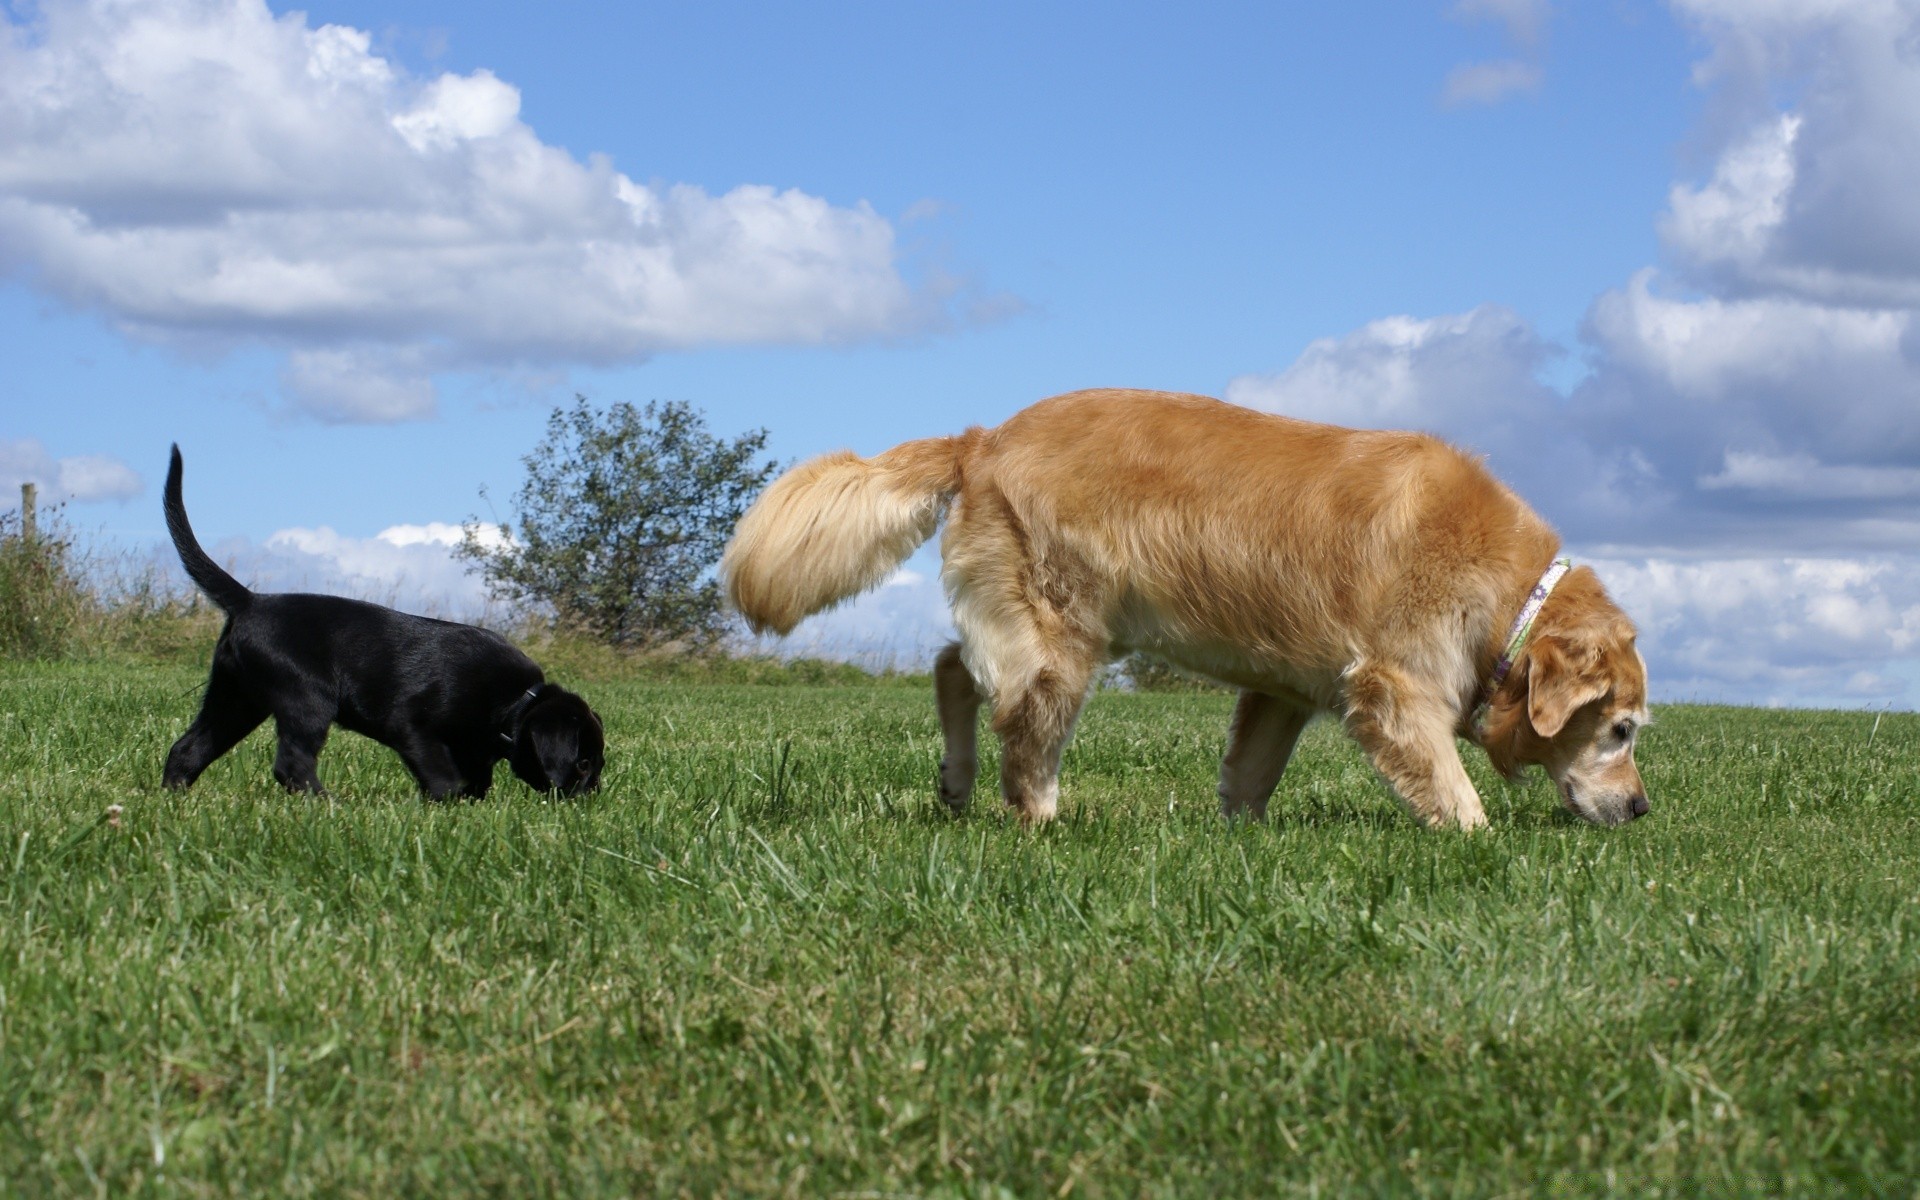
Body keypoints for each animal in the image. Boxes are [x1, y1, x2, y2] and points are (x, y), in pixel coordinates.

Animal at [162, 445, 602, 798]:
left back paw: (173, 798)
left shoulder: (471, 749)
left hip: (236, 698)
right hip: (306, 698)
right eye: (582, 764)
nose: (590, 798)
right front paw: (448, 801)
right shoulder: (411, 725)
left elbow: (476, 778)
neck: (515, 701)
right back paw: (326, 804)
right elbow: (443, 776)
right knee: (292, 764)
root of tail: (250, 600)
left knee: (188, 749)